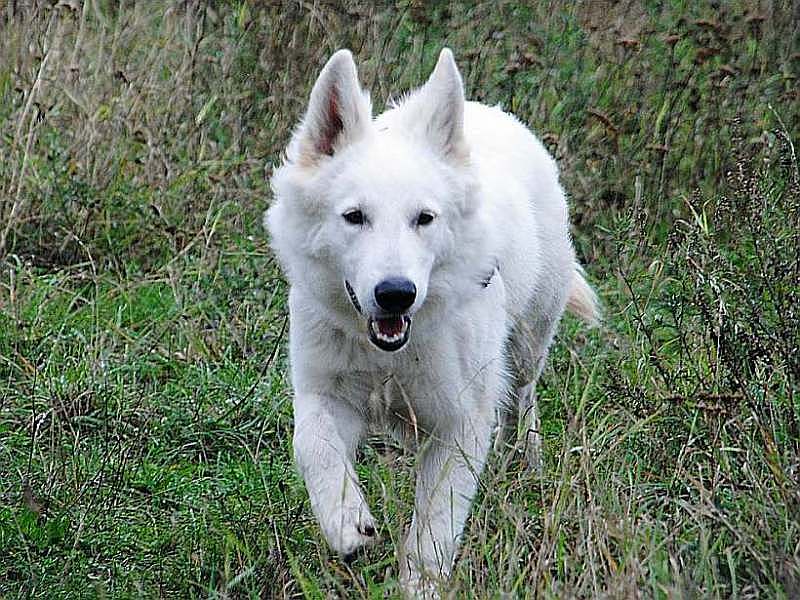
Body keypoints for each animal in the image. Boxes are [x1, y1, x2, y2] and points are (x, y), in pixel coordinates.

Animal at [266, 47, 596, 596]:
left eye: (424, 218)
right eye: (354, 217)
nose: (396, 294)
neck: (388, 354)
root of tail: (487, 111)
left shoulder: (460, 424)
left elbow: (435, 527)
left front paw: (421, 585)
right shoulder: (322, 394)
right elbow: (313, 448)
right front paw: (346, 522)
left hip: (528, 344)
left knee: (523, 400)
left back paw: (525, 466)